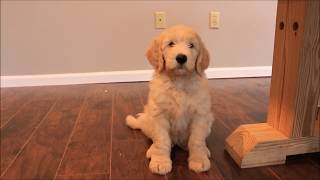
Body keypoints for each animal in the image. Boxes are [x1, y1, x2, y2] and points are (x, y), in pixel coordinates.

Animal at [126, 24, 214, 174]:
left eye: (191, 45)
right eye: (171, 44)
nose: (181, 58)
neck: (179, 82)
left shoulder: (200, 115)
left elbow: (196, 141)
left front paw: (199, 159)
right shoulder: (159, 115)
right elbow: (162, 140)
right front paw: (160, 161)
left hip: (209, 122)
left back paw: (203, 149)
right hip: (149, 119)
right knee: (155, 139)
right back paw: (152, 150)